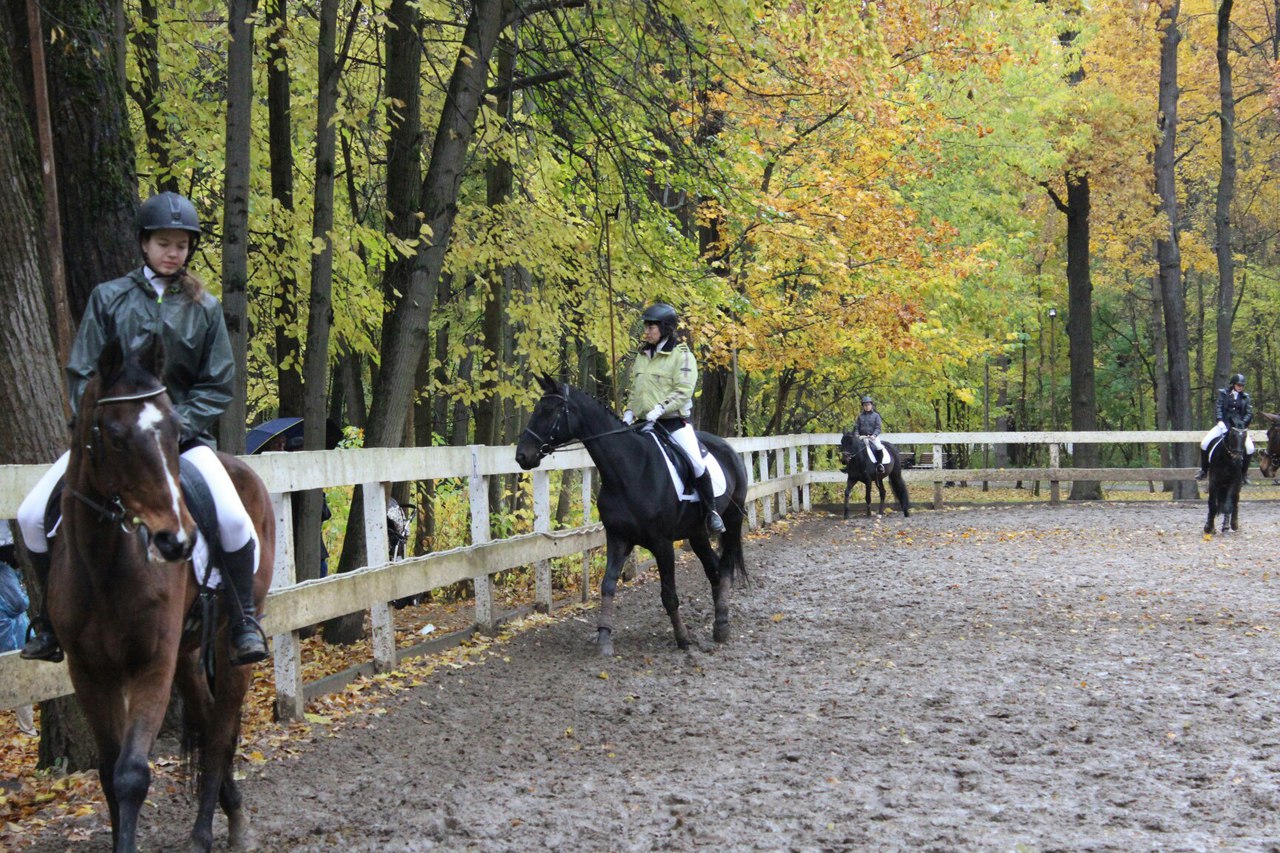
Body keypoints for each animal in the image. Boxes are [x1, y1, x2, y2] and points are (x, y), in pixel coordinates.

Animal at [48, 335, 275, 845]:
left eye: (174, 429)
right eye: (114, 435)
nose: (177, 541)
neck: (103, 566)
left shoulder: (150, 663)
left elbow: (132, 775)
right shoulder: (89, 671)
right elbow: (109, 772)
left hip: (229, 641)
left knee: (221, 733)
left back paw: (211, 833)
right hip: (186, 655)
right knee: (209, 724)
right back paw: (229, 811)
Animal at [512, 376, 747, 653]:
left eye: (549, 411)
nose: (522, 456)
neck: (630, 468)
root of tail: (728, 448)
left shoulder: (662, 543)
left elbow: (669, 595)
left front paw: (682, 638)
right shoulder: (618, 537)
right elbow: (608, 584)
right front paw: (604, 637)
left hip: (732, 521)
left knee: (725, 568)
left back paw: (721, 626)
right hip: (697, 533)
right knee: (714, 571)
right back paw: (718, 621)